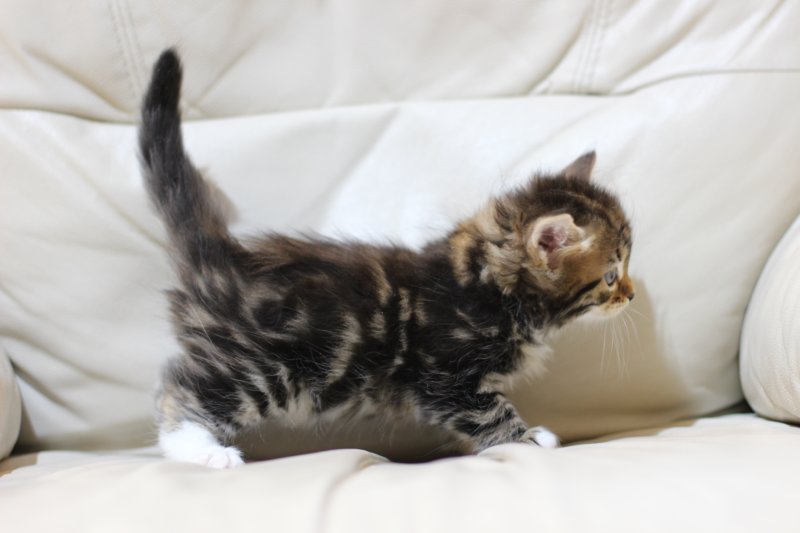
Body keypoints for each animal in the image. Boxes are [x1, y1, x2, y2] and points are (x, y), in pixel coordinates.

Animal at [139, 49, 635, 468]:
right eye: (611, 275)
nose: (631, 295)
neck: (487, 284)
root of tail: (222, 255)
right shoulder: (445, 377)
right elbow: (489, 412)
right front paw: (529, 437)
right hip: (260, 368)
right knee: (179, 391)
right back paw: (203, 450)